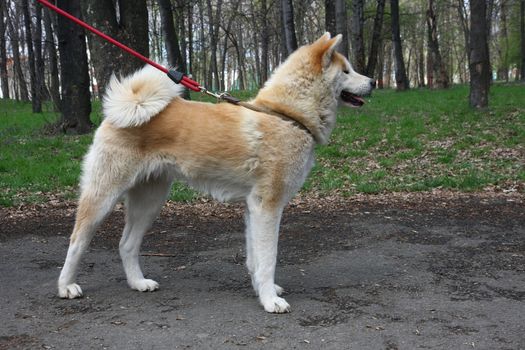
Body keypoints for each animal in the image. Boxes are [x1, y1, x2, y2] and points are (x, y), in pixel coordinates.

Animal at [57, 32, 372, 312]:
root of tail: (126, 107)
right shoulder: (268, 207)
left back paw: (138, 282)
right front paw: (270, 301)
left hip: (150, 201)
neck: (286, 115)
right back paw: (66, 286)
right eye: (346, 70)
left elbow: (255, 259)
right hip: (104, 196)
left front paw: (263, 291)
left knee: (126, 244)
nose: (372, 82)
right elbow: (268, 258)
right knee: (76, 241)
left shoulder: (253, 208)